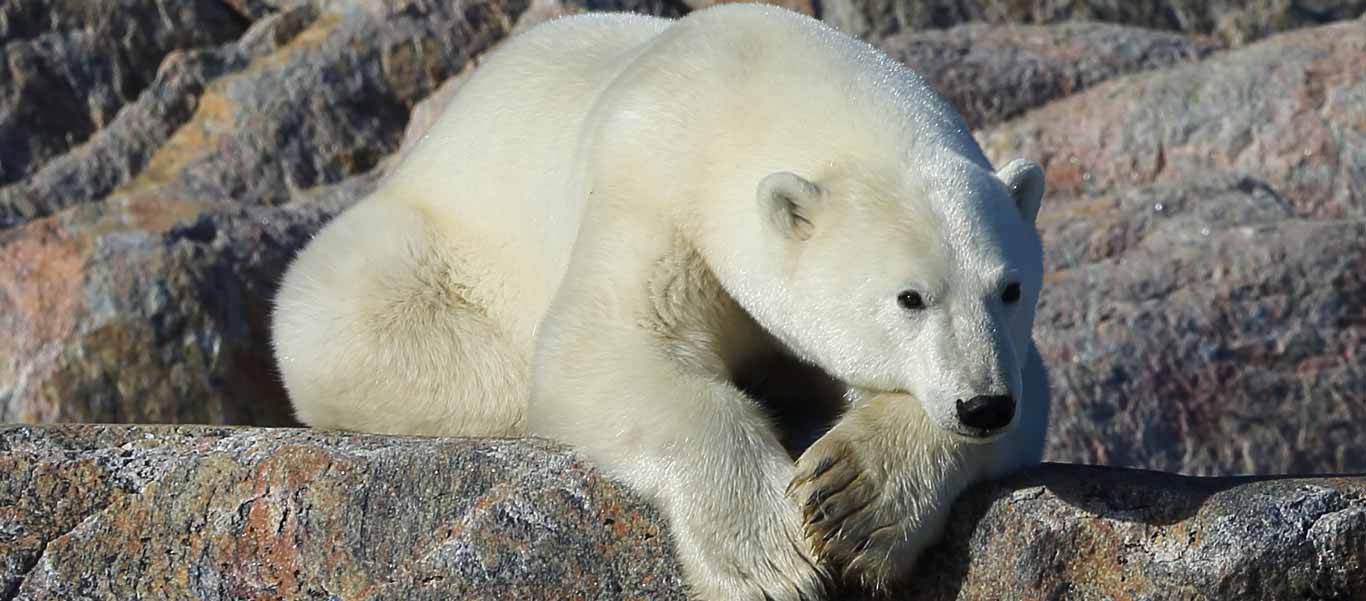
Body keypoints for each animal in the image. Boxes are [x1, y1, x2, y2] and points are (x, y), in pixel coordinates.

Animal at [271, 5, 1049, 601]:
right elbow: (605, 349)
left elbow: (1029, 401)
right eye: (909, 297)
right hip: (423, 247)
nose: (982, 404)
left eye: (1010, 288)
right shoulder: (651, 187)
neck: (747, 81)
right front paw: (767, 562)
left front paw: (856, 498)